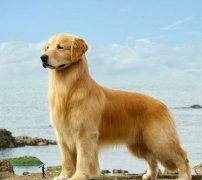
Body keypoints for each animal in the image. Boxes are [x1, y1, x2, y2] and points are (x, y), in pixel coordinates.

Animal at [40, 33, 191, 179]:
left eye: (60, 47)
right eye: (47, 47)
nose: (43, 57)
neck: (69, 90)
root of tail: (162, 104)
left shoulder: (85, 134)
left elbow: (82, 159)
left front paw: (78, 176)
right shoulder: (62, 135)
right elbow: (66, 159)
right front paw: (63, 176)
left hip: (159, 140)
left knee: (182, 156)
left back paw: (183, 177)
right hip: (139, 144)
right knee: (152, 158)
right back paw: (149, 175)